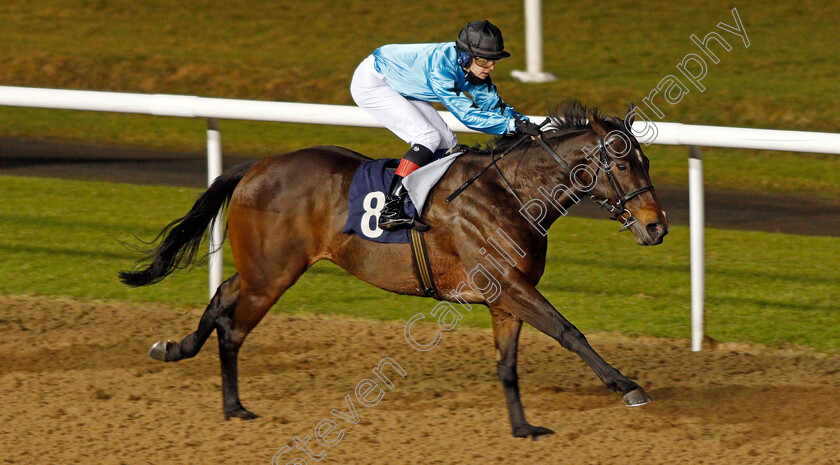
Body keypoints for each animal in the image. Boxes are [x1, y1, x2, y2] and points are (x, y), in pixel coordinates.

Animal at [118, 99, 668, 436]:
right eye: (623, 164)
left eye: (646, 162)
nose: (657, 227)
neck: (513, 195)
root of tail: (255, 166)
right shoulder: (509, 286)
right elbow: (569, 331)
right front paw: (628, 387)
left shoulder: (505, 297)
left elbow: (508, 365)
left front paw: (522, 428)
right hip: (272, 274)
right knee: (233, 326)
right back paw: (234, 406)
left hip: (262, 267)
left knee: (220, 298)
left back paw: (175, 349)